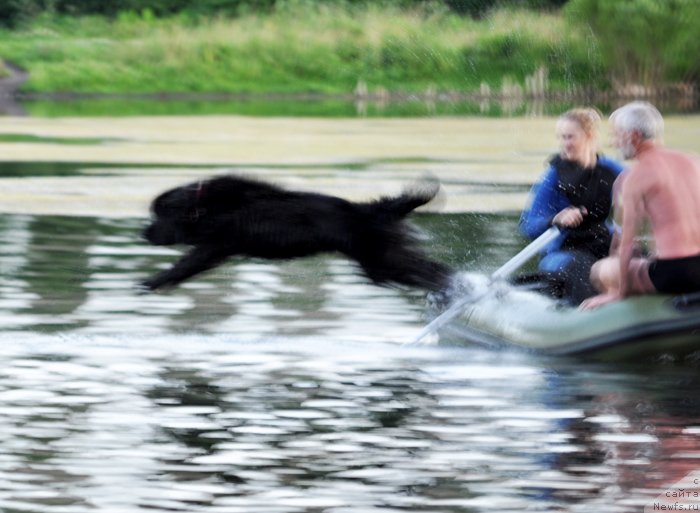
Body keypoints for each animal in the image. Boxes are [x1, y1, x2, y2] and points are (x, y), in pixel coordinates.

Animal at [141, 174, 454, 290]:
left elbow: (186, 265)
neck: (205, 207)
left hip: (384, 258)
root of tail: (372, 210)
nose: (144, 234)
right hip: (380, 263)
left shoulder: (215, 245)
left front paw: (153, 281)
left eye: (158, 215)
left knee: (435, 271)